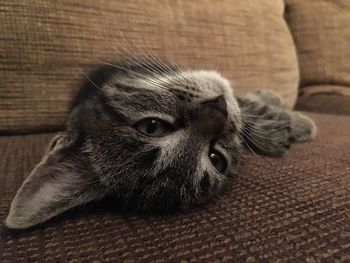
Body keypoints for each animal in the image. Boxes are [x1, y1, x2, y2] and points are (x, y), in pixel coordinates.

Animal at [4, 57, 318, 229]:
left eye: (151, 126)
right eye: (216, 158)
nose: (218, 108)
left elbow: (246, 103)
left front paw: (278, 118)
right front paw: (290, 125)